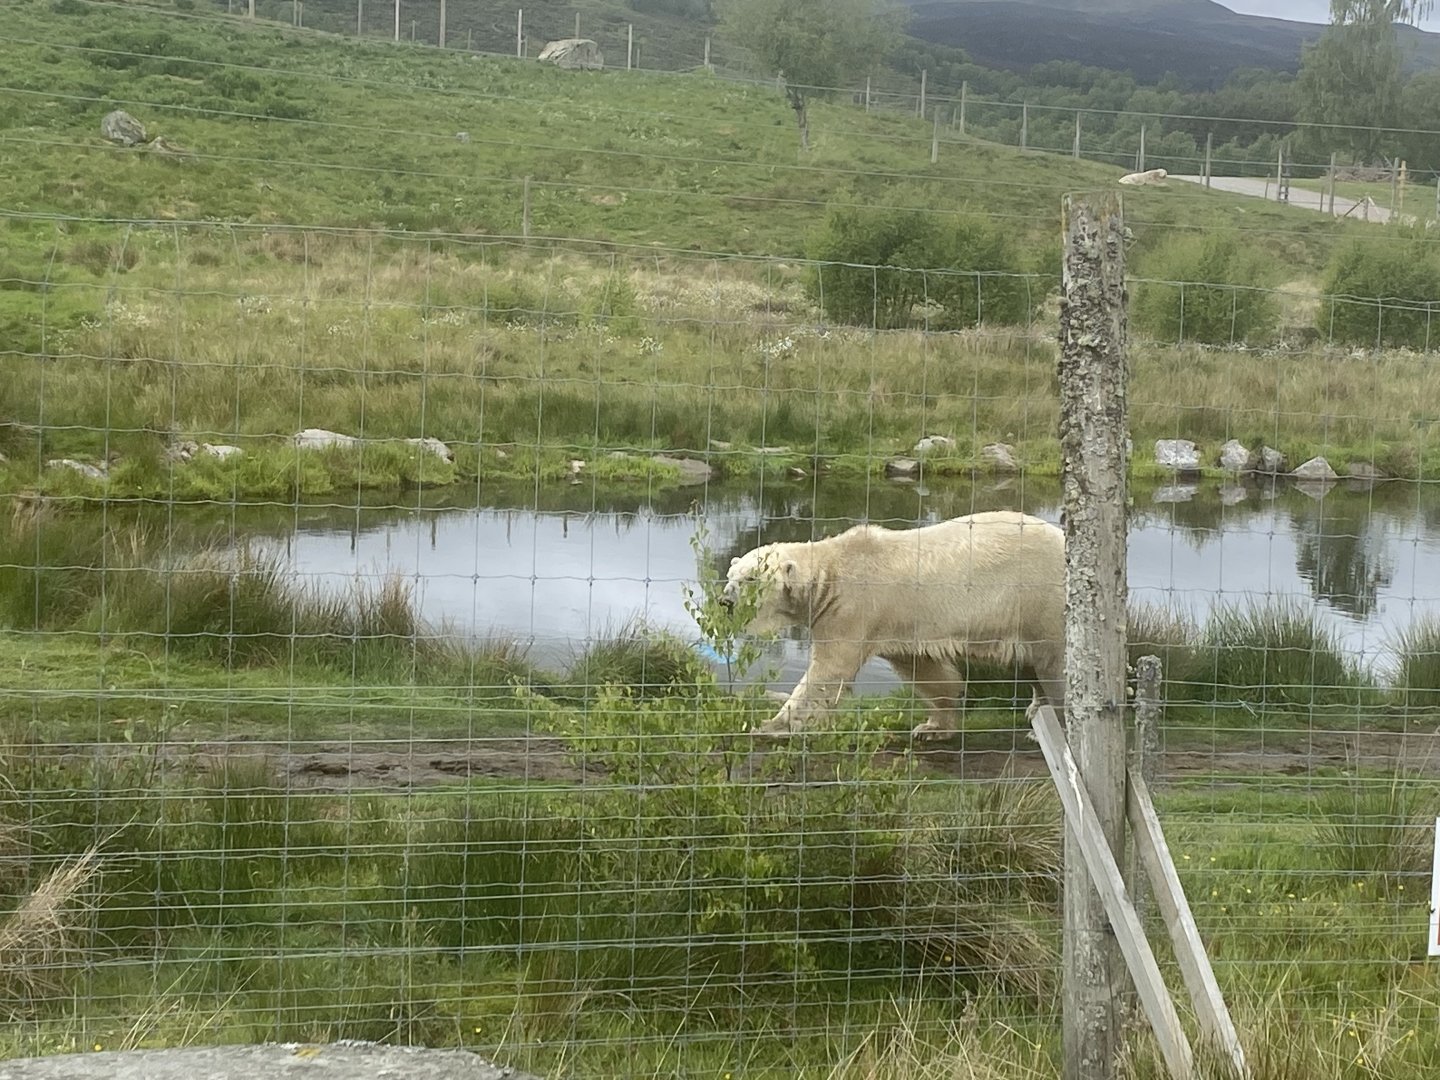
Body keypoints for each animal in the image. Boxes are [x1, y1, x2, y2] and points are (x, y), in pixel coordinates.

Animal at [720, 510, 1066, 739]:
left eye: (751, 579)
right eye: (730, 576)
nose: (725, 602)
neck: (829, 574)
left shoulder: (851, 609)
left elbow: (828, 671)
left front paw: (770, 727)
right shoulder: (900, 624)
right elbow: (928, 672)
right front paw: (932, 727)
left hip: (1040, 598)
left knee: (1054, 663)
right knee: (1030, 661)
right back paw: (1036, 712)